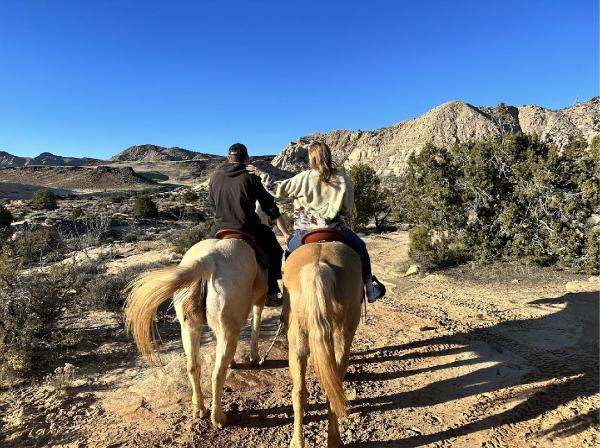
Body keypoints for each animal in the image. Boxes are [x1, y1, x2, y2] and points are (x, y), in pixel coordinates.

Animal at [125, 238, 266, 428]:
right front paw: (254, 358)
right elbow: (256, 325)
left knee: (193, 366)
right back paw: (218, 418)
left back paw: (199, 408)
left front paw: (234, 361)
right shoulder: (259, 301)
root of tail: (207, 260)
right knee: (217, 374)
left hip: (189, 328)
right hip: (227, 330)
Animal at [284, 242, 364, 448]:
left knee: (300, 392)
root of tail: (317, 267)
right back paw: (335, 440)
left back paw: (297, 442)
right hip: (342, 338)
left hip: (297, 340)